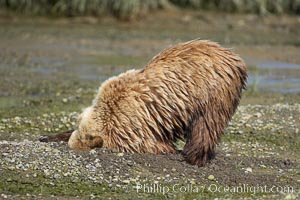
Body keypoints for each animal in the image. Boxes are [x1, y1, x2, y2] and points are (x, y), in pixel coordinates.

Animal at [39, 39, 246, 166]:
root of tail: (235, 58)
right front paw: (49, 136)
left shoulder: (130, 126)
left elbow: (149, 144)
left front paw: (170, 149)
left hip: (212, 91)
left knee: (206, 125)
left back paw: (192, 156)